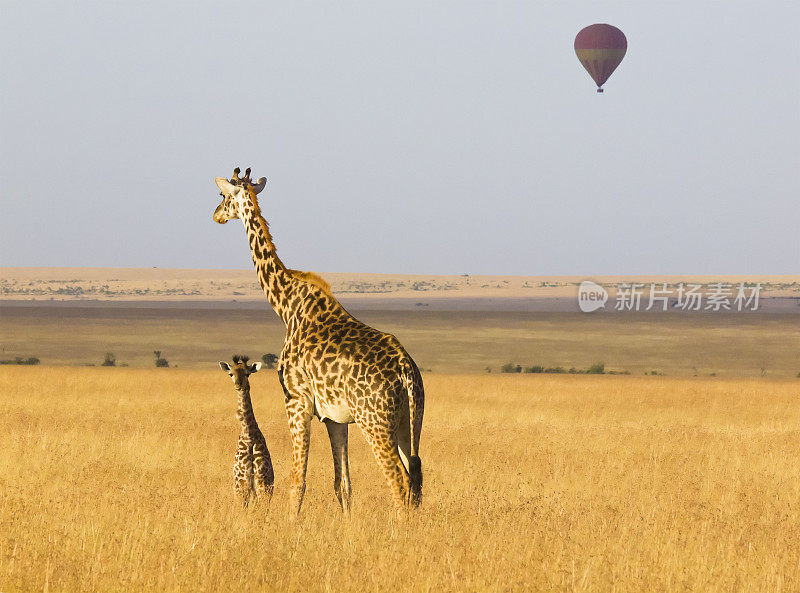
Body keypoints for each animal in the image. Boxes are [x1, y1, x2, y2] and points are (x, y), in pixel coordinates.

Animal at [219, 354, 276, 506]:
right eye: (231, 374)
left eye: (247, 373)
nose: (239, 386)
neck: (249, 434)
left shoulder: (254, 483)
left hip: (255, 486)